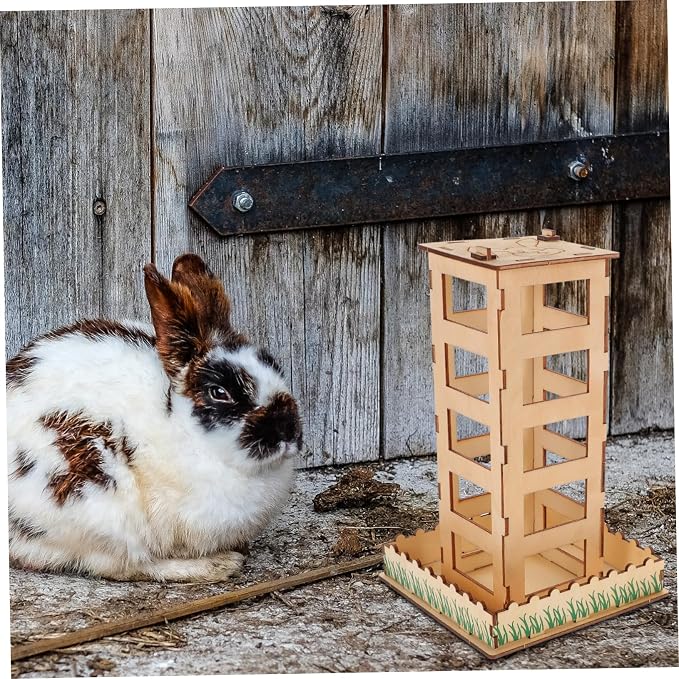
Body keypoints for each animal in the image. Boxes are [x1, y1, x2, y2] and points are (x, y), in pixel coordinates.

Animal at [6, 253, 301, 582]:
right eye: (219, 392)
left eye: (274, 366)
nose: (287, 430)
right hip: (100, 502)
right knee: (128, 564)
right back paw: (217, 565)